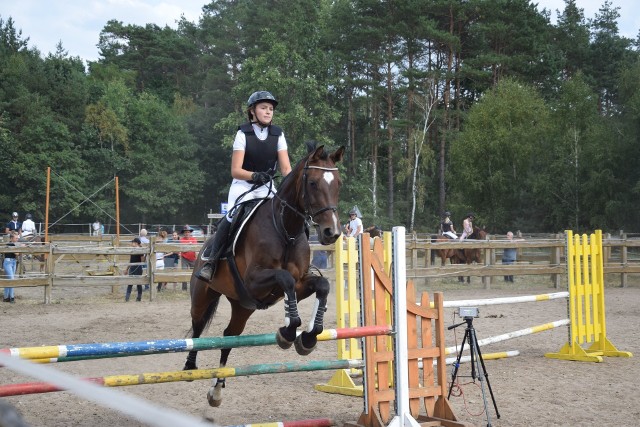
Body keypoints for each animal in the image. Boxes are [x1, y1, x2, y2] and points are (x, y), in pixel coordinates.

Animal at [185, 141, 344, 408]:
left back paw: (217, 390)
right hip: (203, 297)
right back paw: (189, 367)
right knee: (197, 330)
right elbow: (284, 279)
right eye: (312, 183)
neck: (286, 229)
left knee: (229, 337)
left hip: (243, 306)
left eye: (338, 184)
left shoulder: (299, 284)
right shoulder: (254, 281)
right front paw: (289, 331)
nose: (331, 232)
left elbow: (321, 285)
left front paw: (308, 337)